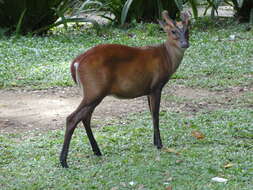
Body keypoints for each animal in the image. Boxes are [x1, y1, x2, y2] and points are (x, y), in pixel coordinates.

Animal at [59, 10, 190, 168]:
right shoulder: (156, 86)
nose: (185, 43)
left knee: (85, 117)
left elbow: (151, 114)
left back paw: (96, 151)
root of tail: (76, 63)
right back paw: (64, 161)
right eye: (173, 31)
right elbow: (156, 115)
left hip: (93, 92)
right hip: (94, 90)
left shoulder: (147, 90)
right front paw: (159, 144)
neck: (166, 57)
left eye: (188, 30)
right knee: (72, 118)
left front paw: (154, 142)